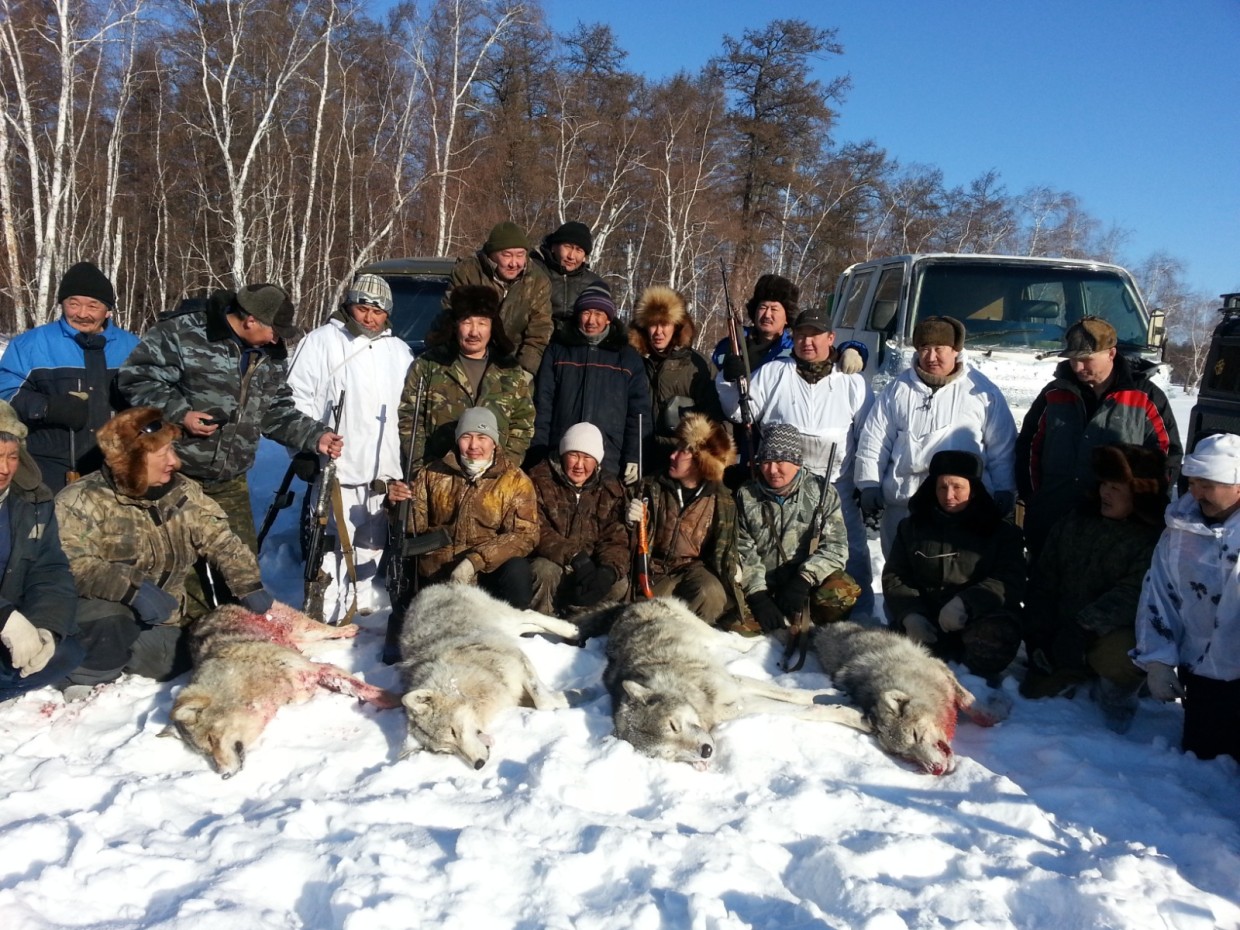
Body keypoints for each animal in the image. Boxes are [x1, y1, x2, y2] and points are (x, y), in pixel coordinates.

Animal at [166, 601, 399, 778]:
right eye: (205, 752)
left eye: (211, 739)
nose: (224, 775)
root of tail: (208, 612)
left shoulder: (316, 669)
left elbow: (367, 690)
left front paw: (394, 700)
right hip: (303, 643)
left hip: (304, 630)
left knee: (330, 630)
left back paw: (353, 630)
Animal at [397, 583, 578, 770]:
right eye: (448, 750)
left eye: (453, 732)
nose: (478, 765)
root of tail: (427, 589)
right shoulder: (511, 691)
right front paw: (570, 697)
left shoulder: (517, 659)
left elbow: (543, 703)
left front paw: (565, 701)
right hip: (504, 628)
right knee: (525, 623)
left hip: (503, 618)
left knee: (529, 614)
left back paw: (571, 630)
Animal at [585, 597, 869, 769]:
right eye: (669, 753)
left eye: (673, 726)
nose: (706, 752)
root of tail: (628, 605)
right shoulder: (742, 703)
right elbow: (805, 708)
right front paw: (844, 708)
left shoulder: (736, 683)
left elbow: (796, 696)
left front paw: (837, 700)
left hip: (706, 633)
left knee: (733, 639)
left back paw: (769, 639)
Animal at [814, 621, 1011, 775]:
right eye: (904, 754)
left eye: (915, 735)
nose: (936, 769)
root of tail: (823, 629)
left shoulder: (944, 674)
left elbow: (972, 706)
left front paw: (1001, 707)